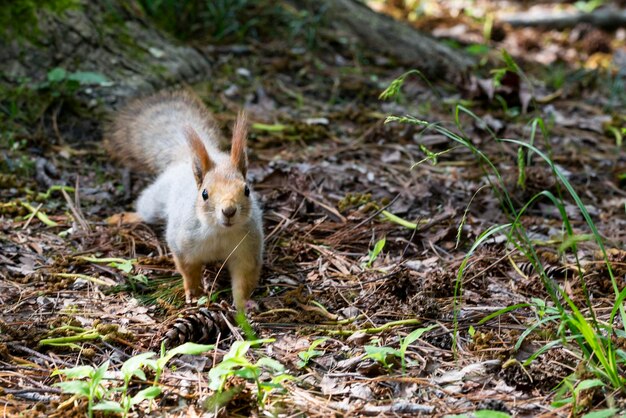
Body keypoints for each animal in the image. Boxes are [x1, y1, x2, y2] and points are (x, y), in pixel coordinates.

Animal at [106, 90, 262, 310]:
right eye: (204, 194)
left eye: (247, 190)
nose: (229, 211)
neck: (219, 232)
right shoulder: (183, 244)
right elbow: (189, 270)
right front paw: (194, 293)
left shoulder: (248, 250)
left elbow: (244, 280)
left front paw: (243, 305)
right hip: (155, 199)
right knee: (146, 210)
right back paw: (126, 217)